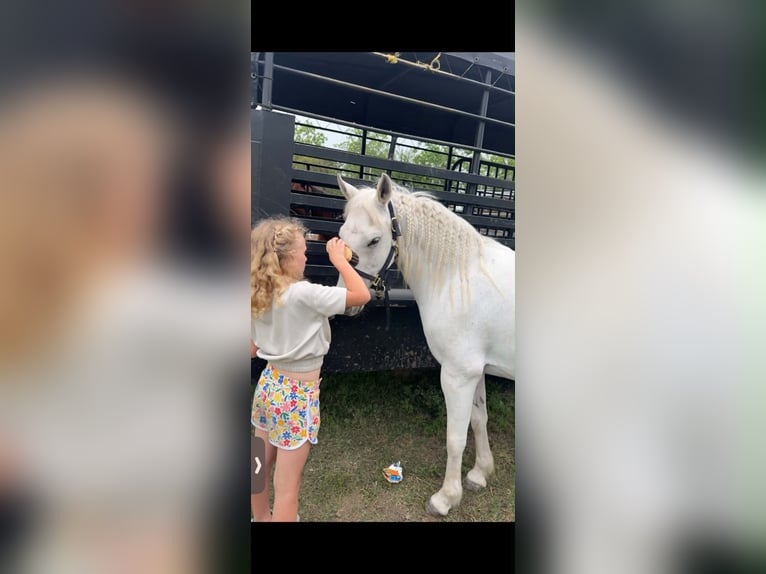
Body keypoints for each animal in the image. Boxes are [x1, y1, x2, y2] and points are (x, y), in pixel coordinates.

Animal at [335, 172, 515, 517]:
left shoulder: (457, 375)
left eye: (374, 240)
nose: (347, 301)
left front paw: (445, 498)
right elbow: (479, 420)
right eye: (341, 236)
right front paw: (479, 474)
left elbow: (455, 438)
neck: (459, 277)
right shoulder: (476, 371)